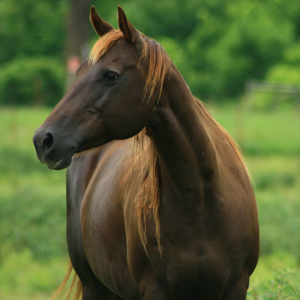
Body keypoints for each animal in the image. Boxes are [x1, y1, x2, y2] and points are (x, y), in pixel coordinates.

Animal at [32, 5, 258, 300]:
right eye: (78, 73)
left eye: (111, 75)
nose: (43, 140)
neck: (201, 199)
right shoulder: (154, 289)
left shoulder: (236, 286)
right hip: (95, 286)